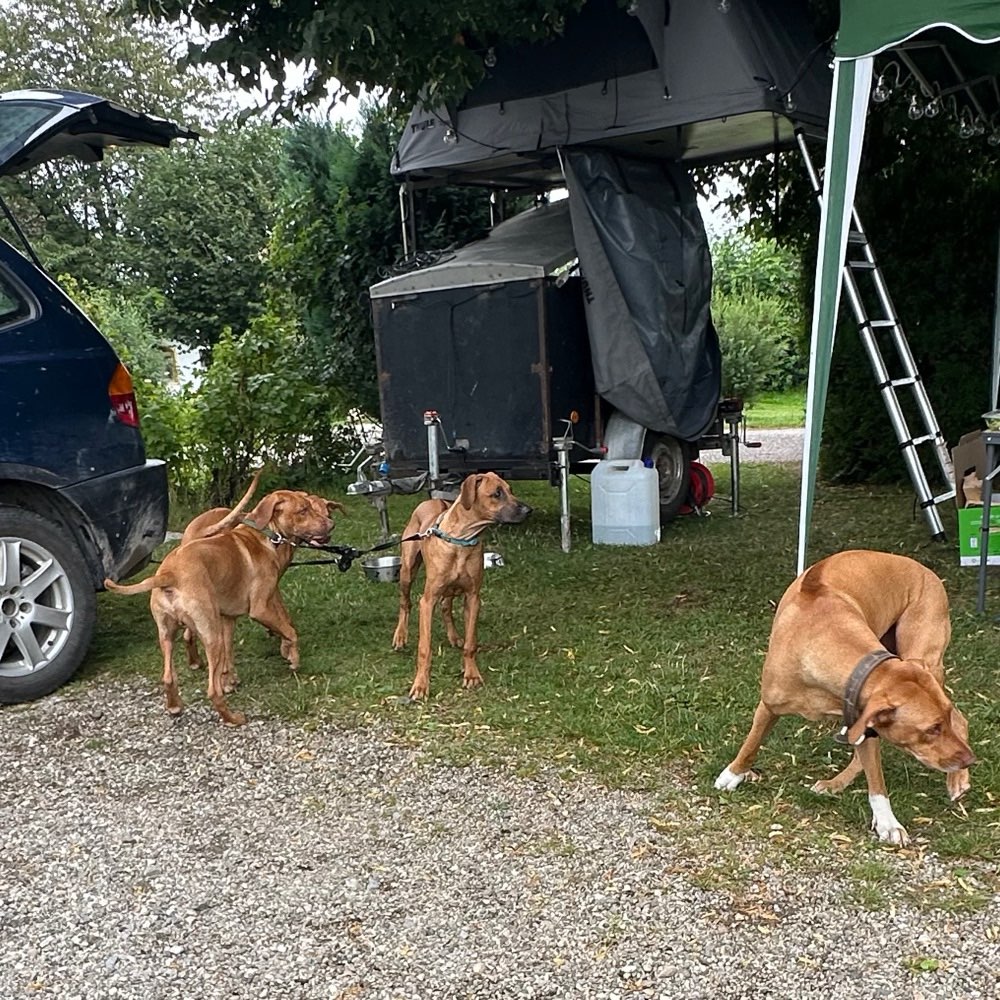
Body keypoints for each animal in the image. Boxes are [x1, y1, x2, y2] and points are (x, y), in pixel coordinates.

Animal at [390, 470, 532, 700]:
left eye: (511, 490)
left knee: (446, 607)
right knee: (405, 603)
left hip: (451, 589)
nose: (529, 510)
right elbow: (424, 648)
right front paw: (420, 685)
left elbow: (470, 643)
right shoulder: (427, 601)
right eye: (497, 493)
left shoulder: (473, 597)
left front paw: (471, 674)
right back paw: (400, 636)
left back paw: (454, 636)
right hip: (407, 571)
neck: (462, 540)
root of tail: (433, 500)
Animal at [716, 552, 972, 848]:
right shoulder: (770, 706)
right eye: (932, 729)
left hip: (925, 656)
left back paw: (956, 781)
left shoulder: (864, 719)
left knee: (961, 718)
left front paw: (887, 823)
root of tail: (924, 569)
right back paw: (835, 784)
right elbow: (752, 743)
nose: (970, 760)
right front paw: (732, 775)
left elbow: (877, 781)